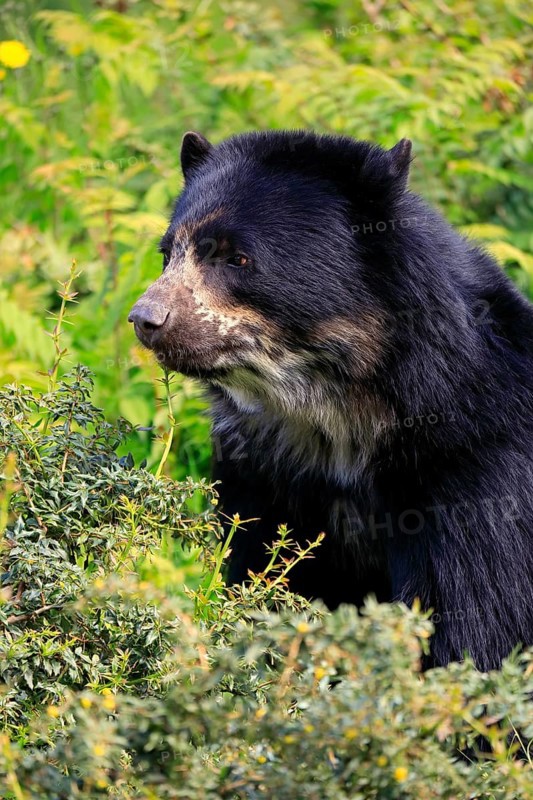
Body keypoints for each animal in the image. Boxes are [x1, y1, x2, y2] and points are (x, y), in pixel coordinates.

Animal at [129, 130, 533, 671]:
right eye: (167, 252)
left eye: (238, 258)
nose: (147, 319)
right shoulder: (265, 476)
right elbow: (269, 576)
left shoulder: (477, 477)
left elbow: (479, 621)